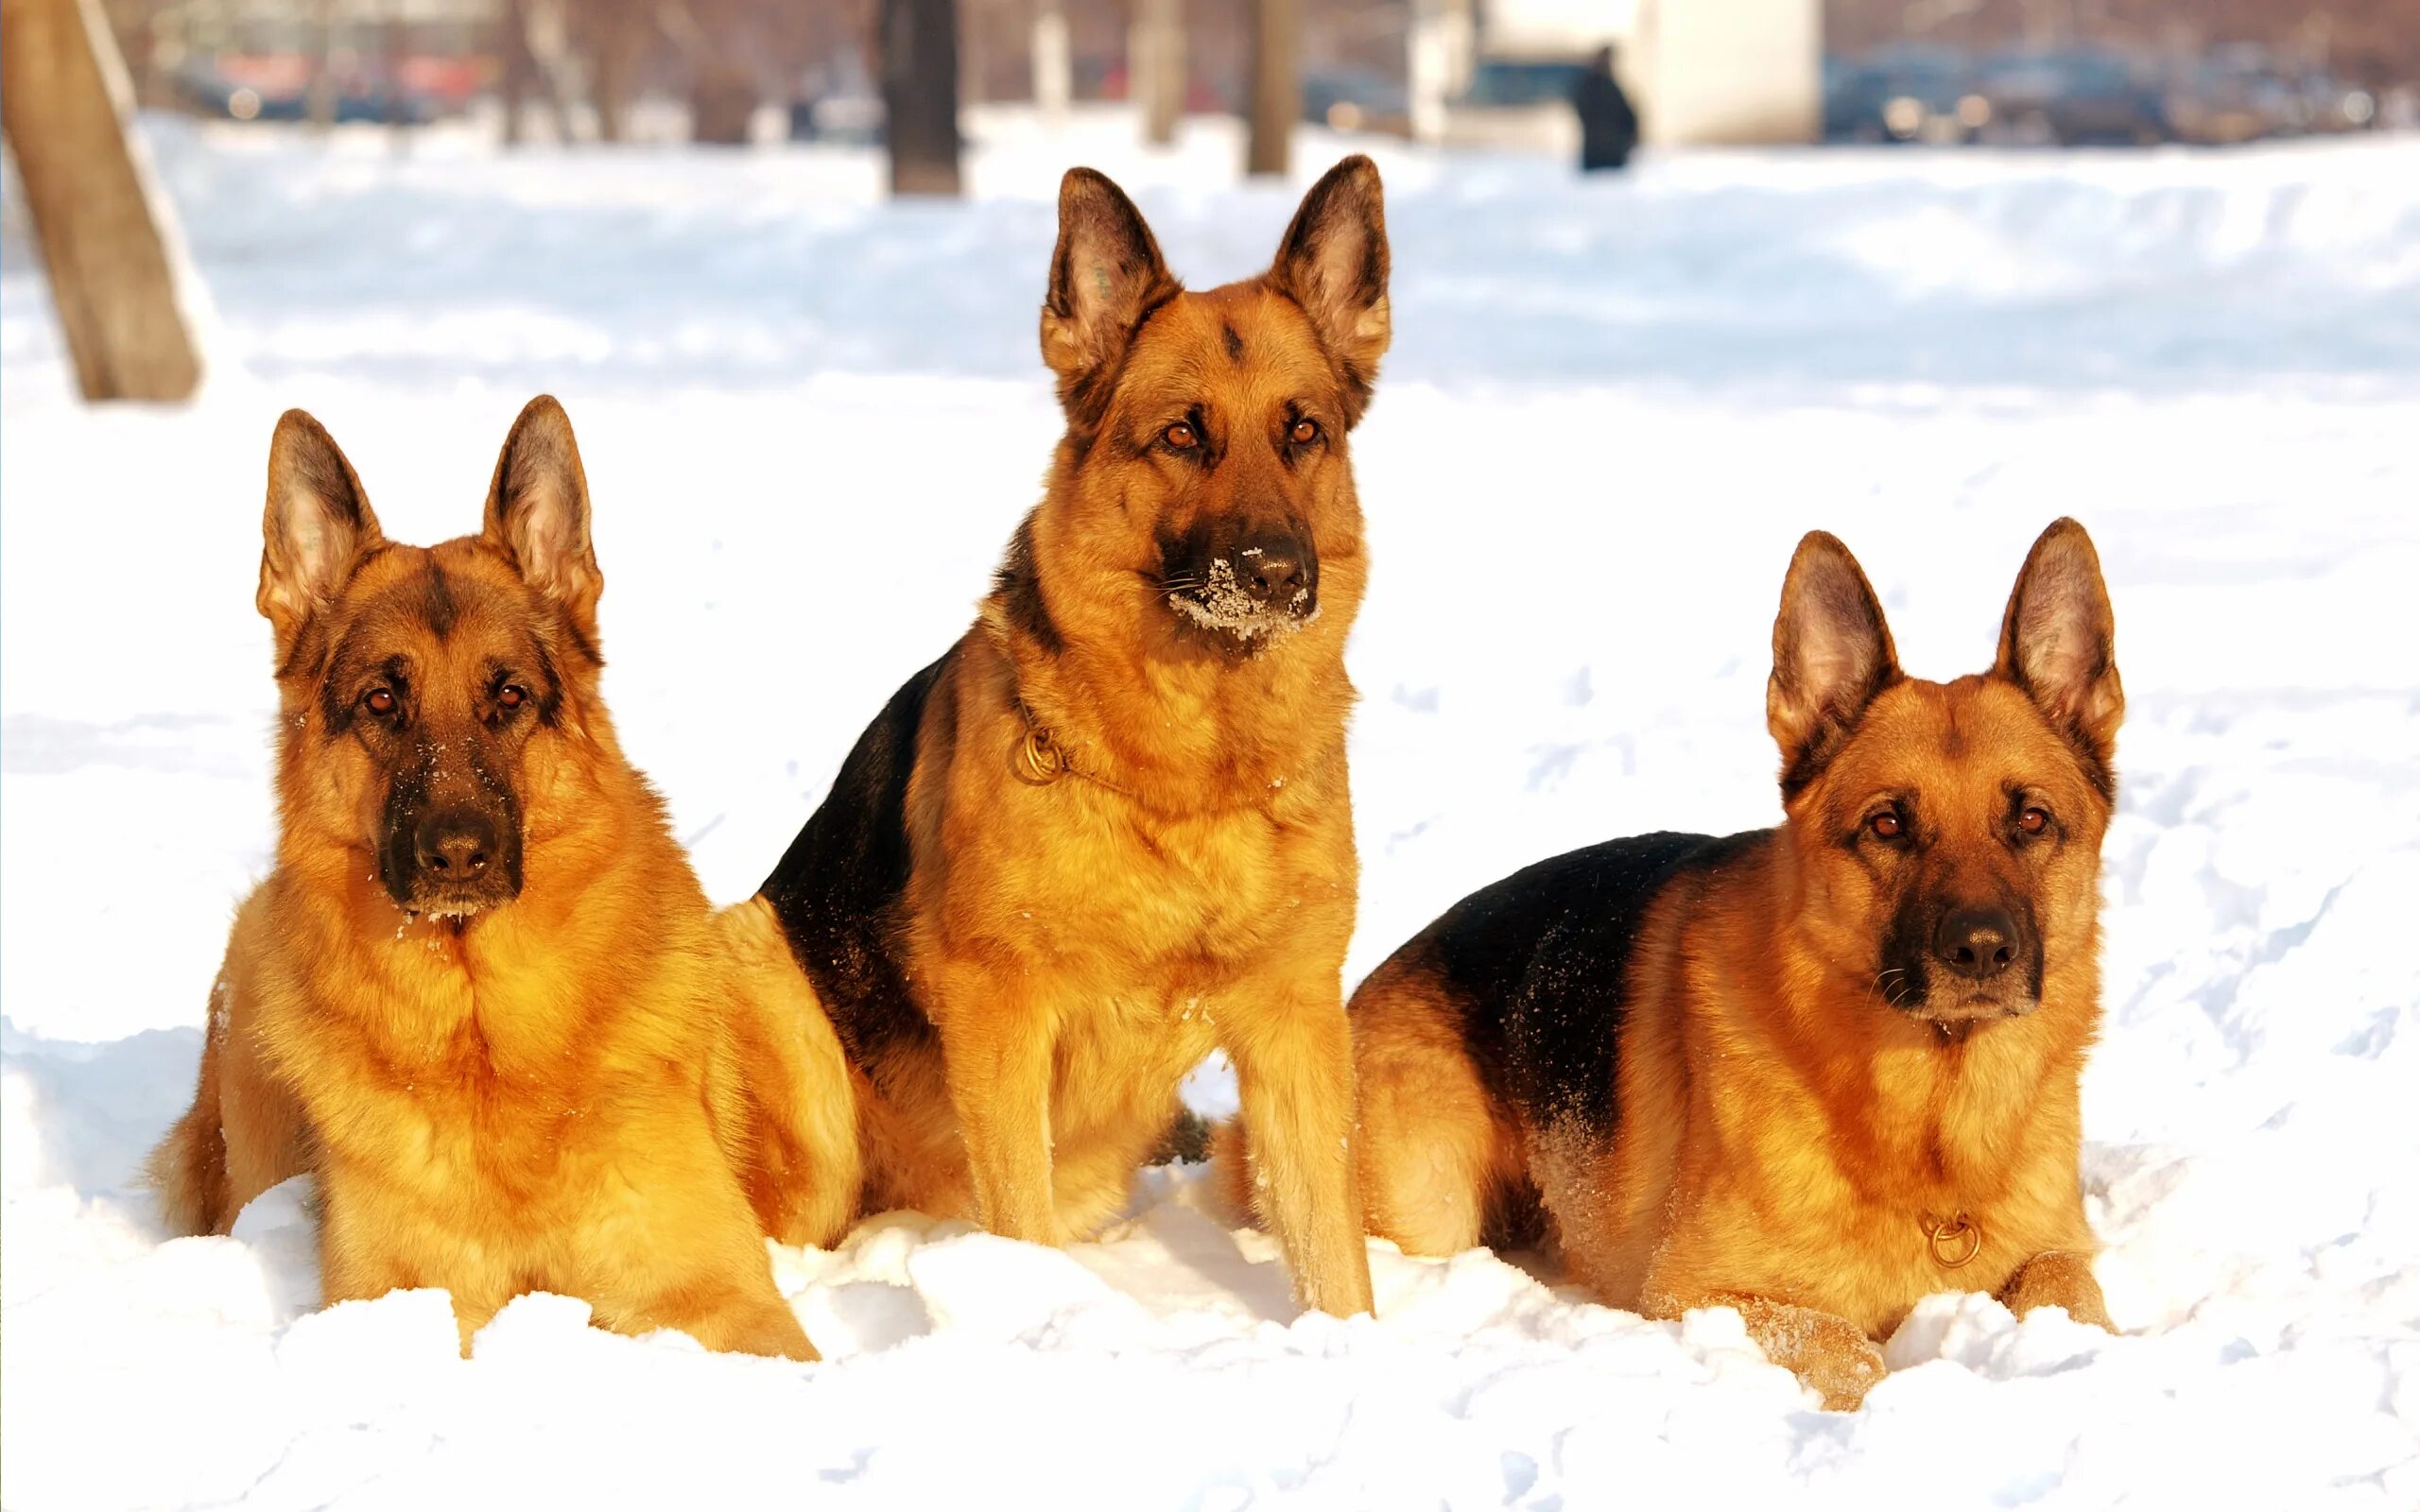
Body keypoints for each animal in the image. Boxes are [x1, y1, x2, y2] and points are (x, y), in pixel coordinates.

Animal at [144, 394, 861, 1354]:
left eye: (509, 696)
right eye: (382, 700)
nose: (457, 852)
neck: (483, 1030)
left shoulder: (718, 1303)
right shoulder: (398, 1304)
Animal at [754, 150, 1403, 1306]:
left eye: (1303, 432)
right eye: (1183, 433)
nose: (1280, 575)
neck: (1188, 777)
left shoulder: (1296, 1027)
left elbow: (1332, 1250)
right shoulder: (1002, 1015)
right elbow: (1019, 1220)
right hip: (770, 982)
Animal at [1336, 517, 2110, 1402]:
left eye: (2031, 820)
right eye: (1886, 825)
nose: (1981, 949)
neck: (1931, 1127)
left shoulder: (2060, 1250)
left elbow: (2067, 1289)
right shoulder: (1698, 1296)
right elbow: (1846, 1346)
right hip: (1428, 1203)